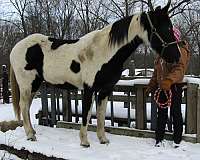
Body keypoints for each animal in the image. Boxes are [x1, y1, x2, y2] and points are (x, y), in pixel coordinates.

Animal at [10, 0, 180, 148]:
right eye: (165, 29)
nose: (177, 56)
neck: (104, 52)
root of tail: (16, 47)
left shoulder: (105, 90)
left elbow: (101, 115)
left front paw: (103, 139)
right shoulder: (89, 89)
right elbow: (86, 114)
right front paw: (84, 142)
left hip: (34, 85)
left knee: (26, 107)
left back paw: (32, 132)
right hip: (27, 84)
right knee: (23, 106)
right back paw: (30, 135)